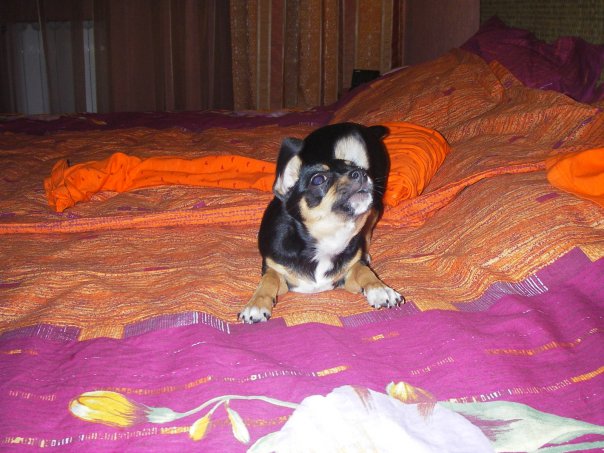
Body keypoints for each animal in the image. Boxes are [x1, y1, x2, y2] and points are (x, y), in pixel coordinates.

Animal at [238, 122, 403, 323]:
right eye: (318, 179)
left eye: (357, 169)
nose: (361, 173)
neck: (327, 237)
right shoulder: (274, 269)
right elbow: (268, 279)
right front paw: (256, 304)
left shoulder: (349, 275)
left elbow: (363, 270)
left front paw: (380, 289)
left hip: (376, 206)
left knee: (367, 228)